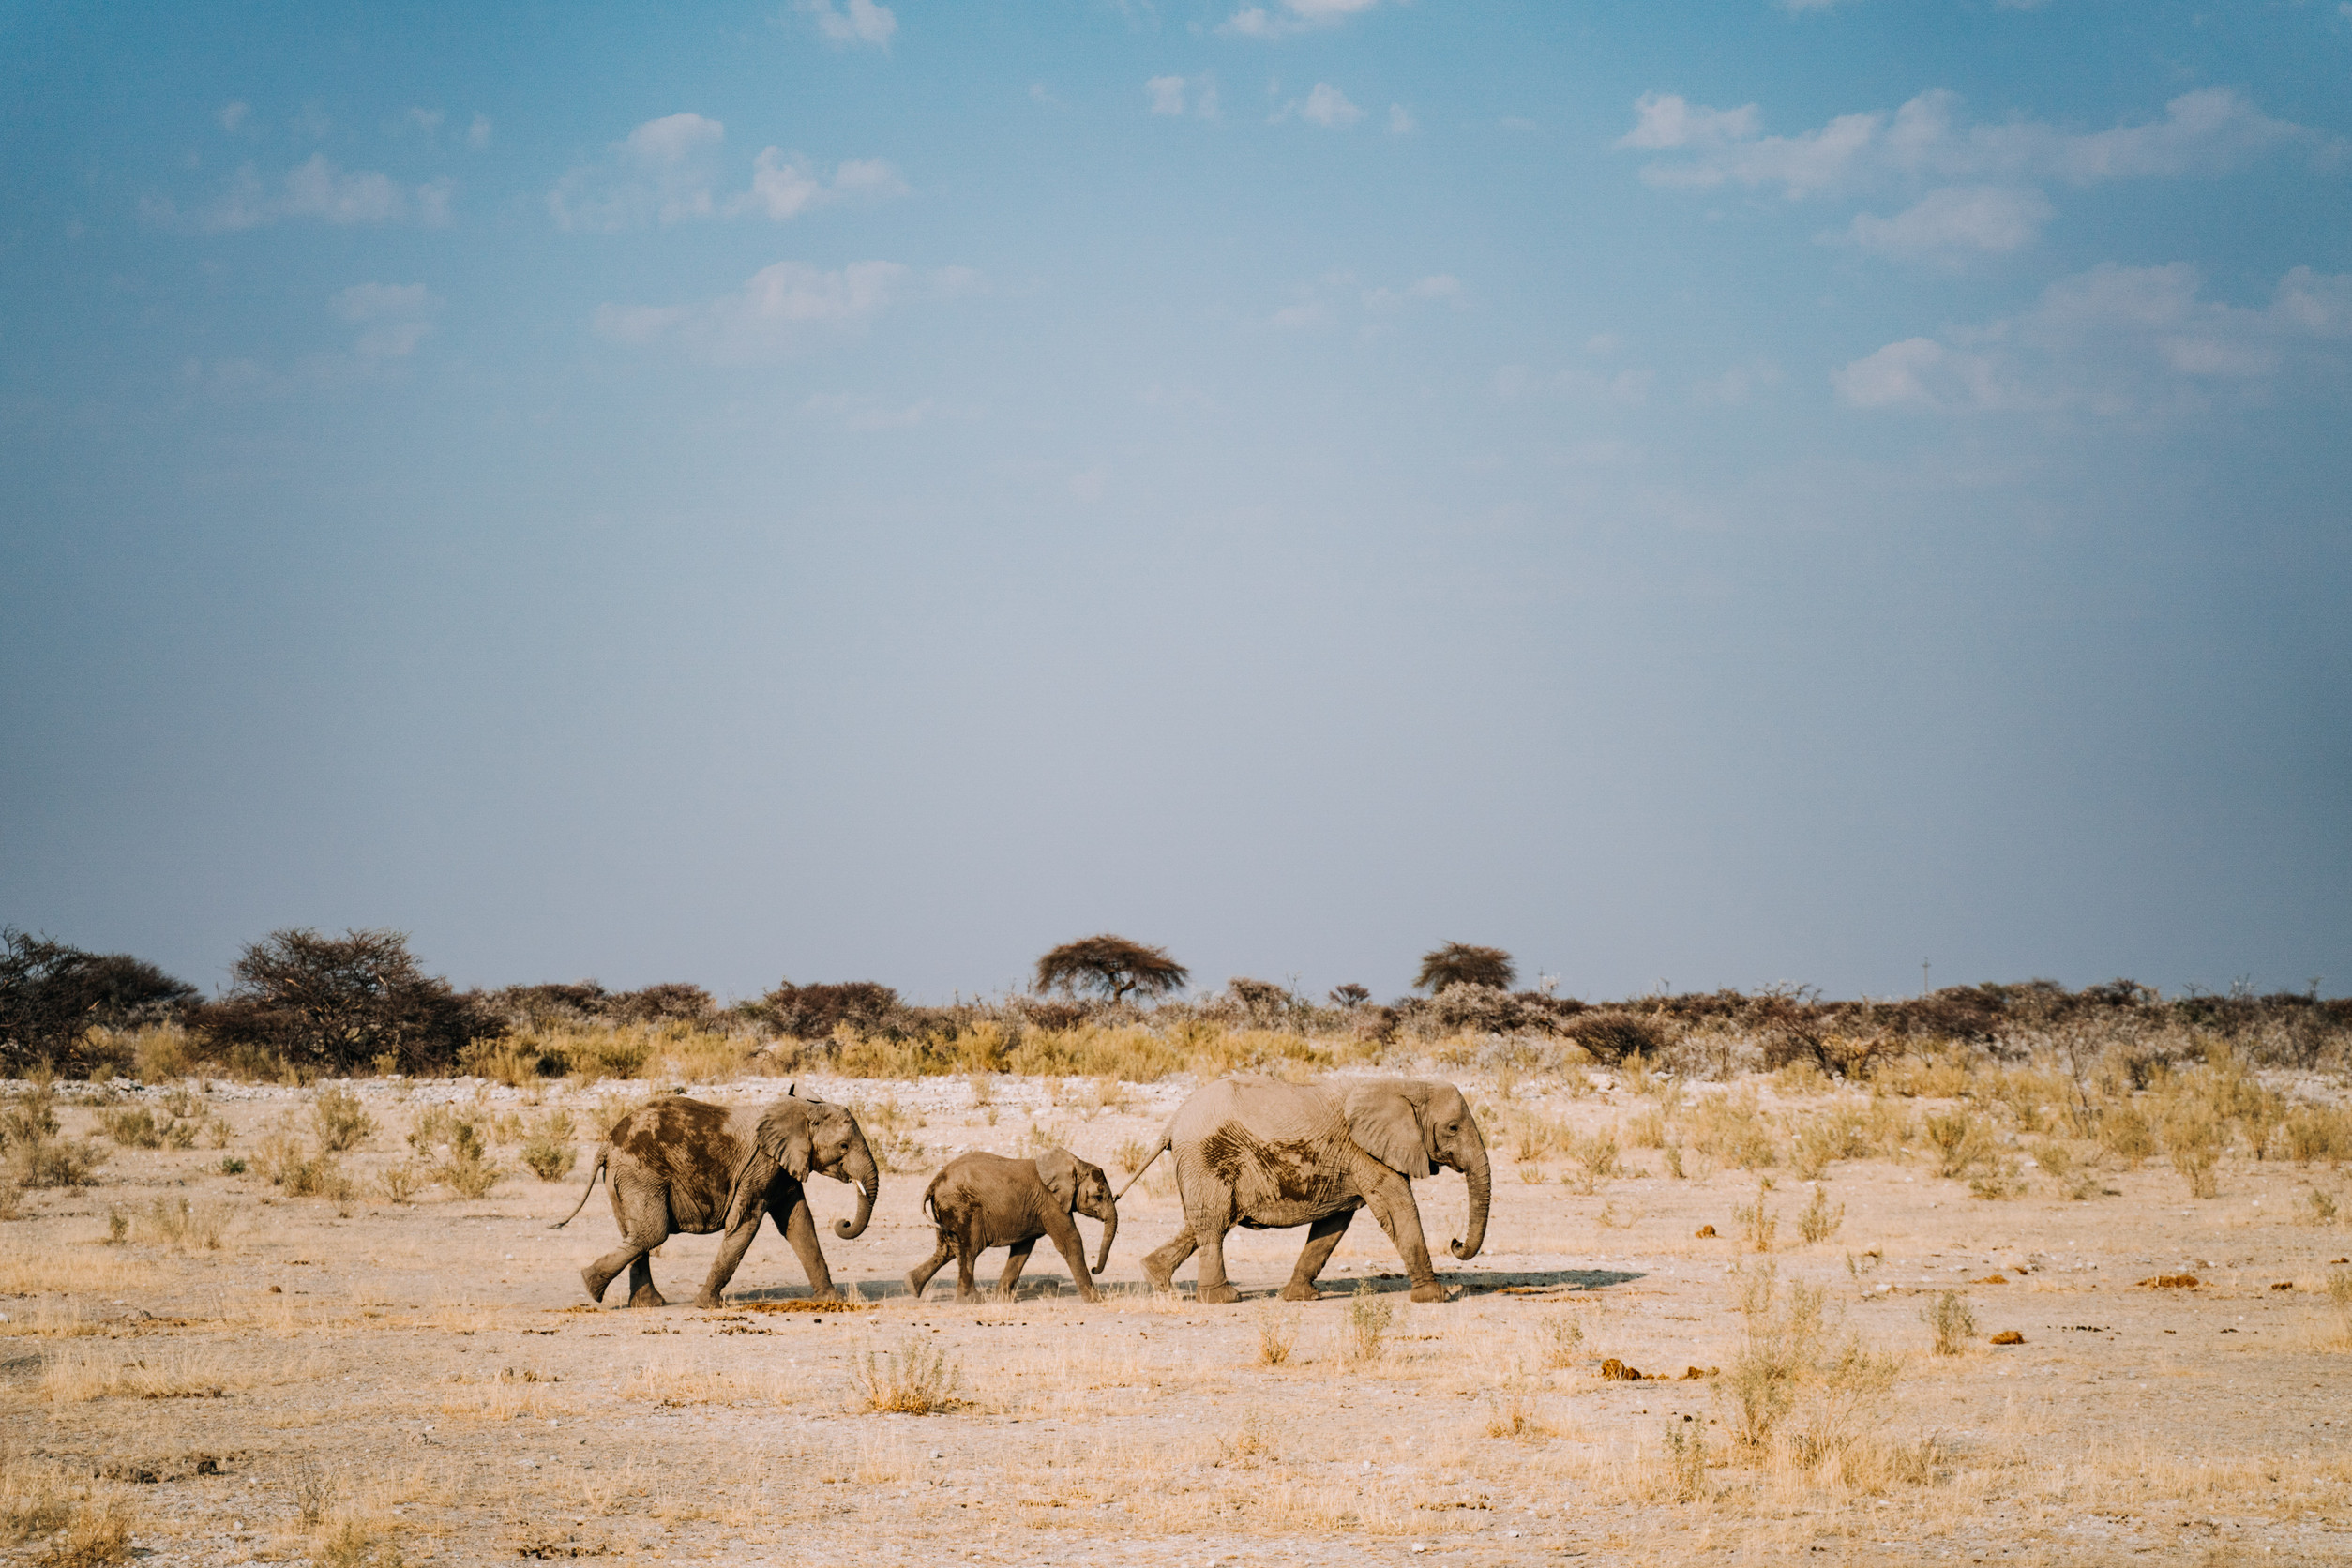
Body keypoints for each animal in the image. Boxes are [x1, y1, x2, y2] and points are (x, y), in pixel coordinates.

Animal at [552, 1091, 884, 1316]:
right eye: (843, 1146)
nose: (842, 1222)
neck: (803, 1107)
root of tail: (607, 1143)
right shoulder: (760, 1165)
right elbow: (745, 1224)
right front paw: (707, 1306)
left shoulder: (781, 1165)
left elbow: (798, 1224)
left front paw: (832, 1300)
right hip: (639, 1173)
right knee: (652, 1233)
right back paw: (591, 1286)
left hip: (622, 1179)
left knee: (636, 1234)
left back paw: (642, 1302)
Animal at [903, 1147, 1114, 1306]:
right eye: (1098, 1196)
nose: (1095, 1268)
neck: (1075, 1164)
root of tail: (935, 1181)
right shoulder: (1051, 1203)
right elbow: (1070, 1241)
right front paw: (1096, 1300)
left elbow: (1022, 1249)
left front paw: (1000, 1299)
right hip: (960, 1207)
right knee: (968, 1250)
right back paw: (971, 1301)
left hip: (945, 1210)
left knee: (946, 1250)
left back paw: (912, 1285)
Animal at [1123, 1072, 1486, 1306]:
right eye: (1453, 1128)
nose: (1455, 1242)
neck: (1407, 1084)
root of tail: (1173, 1121)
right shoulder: (1367, 1153)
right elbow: (1399, 1209)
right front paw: (1438, 1298)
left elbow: (1332, 1224)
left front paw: (1301, 1297)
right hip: (1208, 1156)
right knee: (1214, 1224)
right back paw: (1222, 1299)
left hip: (1200, 1163)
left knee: (1201, 1223)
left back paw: (1156, 1279)